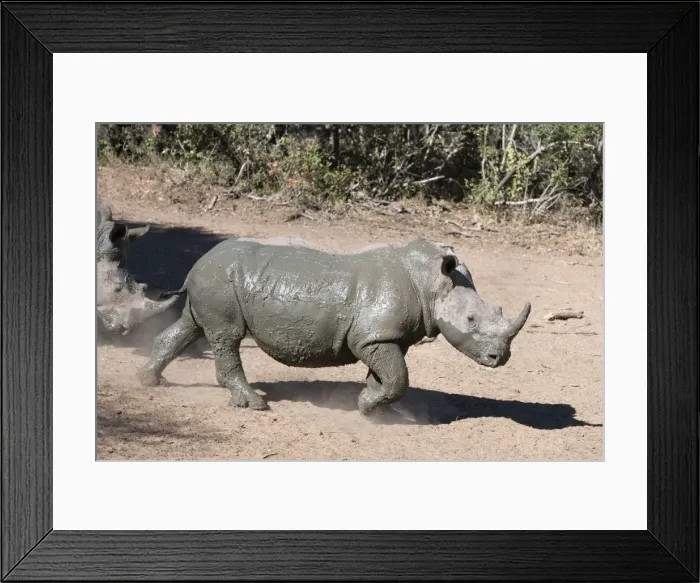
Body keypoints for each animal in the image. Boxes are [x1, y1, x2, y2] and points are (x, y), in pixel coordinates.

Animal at [137, 237, 531, 416]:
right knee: (226, 336)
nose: (501, 358)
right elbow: (398, 378)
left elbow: (389, 376)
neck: (430, 282)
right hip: (220, 283)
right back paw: (253, 404)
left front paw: (372, 406)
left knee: (190, 327)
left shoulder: (384, 336)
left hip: (211, 283)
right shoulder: (370, 337)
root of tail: (196, 265)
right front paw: (368, 406)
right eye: (471, 320)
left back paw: (151, 381)